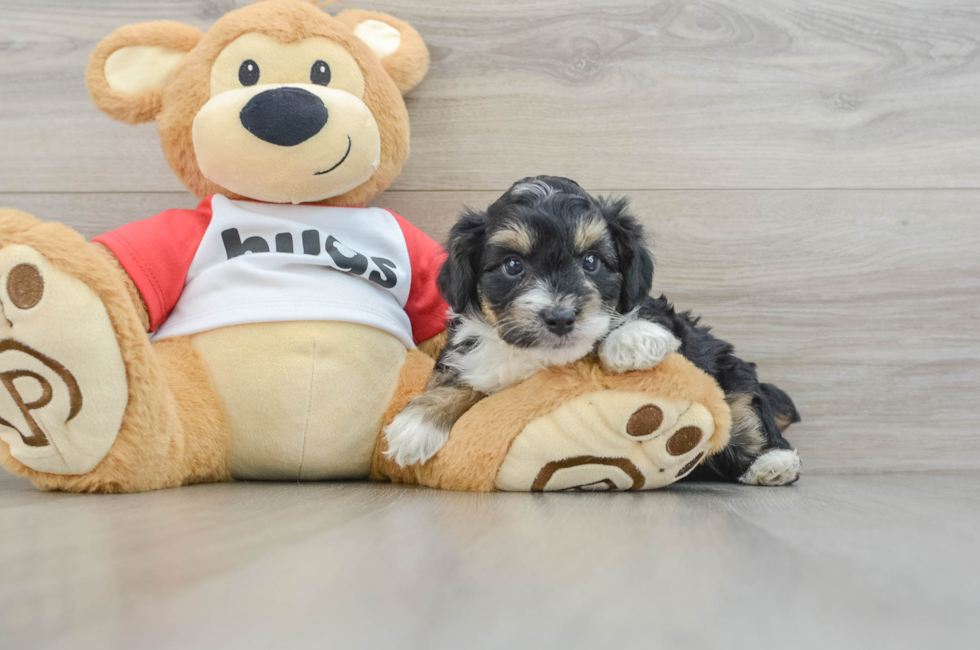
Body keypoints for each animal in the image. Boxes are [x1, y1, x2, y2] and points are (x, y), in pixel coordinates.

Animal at [384, 175, 804, 484]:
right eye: (513, 265)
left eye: (591, 261)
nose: (560, 317)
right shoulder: (467, 349)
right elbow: (458, 378)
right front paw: (417, 424)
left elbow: (643, 313)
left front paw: (632, 340)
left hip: (733, 379)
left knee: (748, 418)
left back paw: (774, 464)